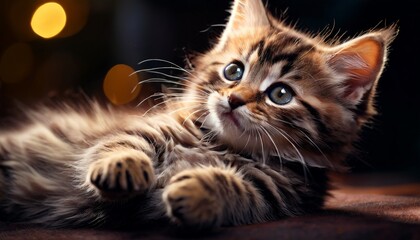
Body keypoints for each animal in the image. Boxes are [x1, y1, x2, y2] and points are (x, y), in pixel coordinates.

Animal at [0, 0, 396, 229]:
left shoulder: (278, 192)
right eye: (234, 72)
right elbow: (122, 143)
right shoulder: (144, 128)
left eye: (280, 95)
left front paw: (198, 190)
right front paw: (122, 166)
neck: (220, 146)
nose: (234, 100)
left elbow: (237, 188)